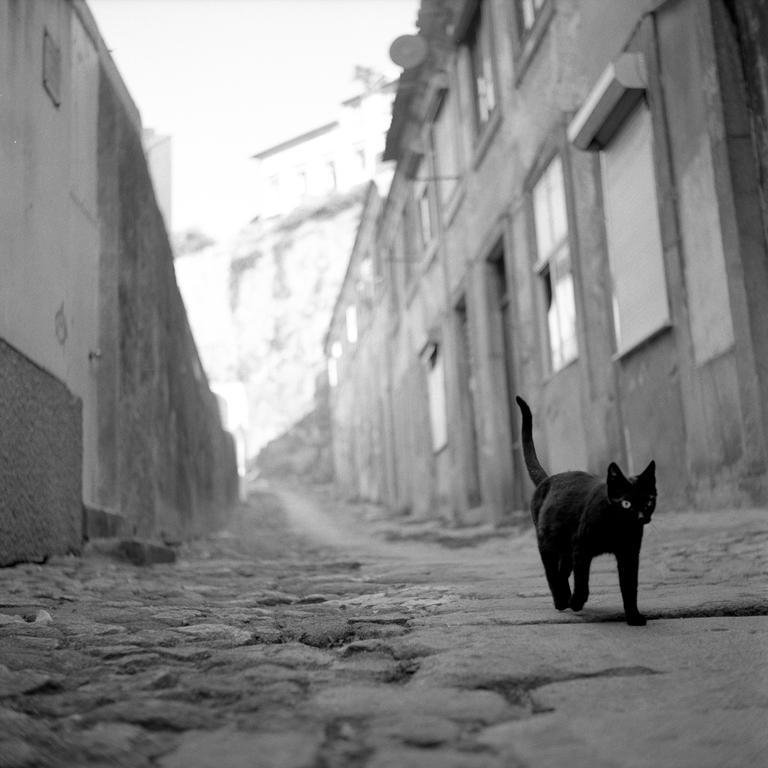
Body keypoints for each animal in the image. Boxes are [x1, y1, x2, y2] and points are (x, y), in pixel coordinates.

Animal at [512, 396, 656, 624]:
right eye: (626, 503)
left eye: (649, 501)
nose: (641, 515)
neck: (618, 529)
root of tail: (547, 479)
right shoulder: (581, 549)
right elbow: (582, 582)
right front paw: (577, 602)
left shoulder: (629, 554)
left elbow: (630, 586)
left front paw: (634, 617)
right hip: (548, 543)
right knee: (552, 572)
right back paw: (561, 600)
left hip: (565, 546)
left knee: (562, 571)